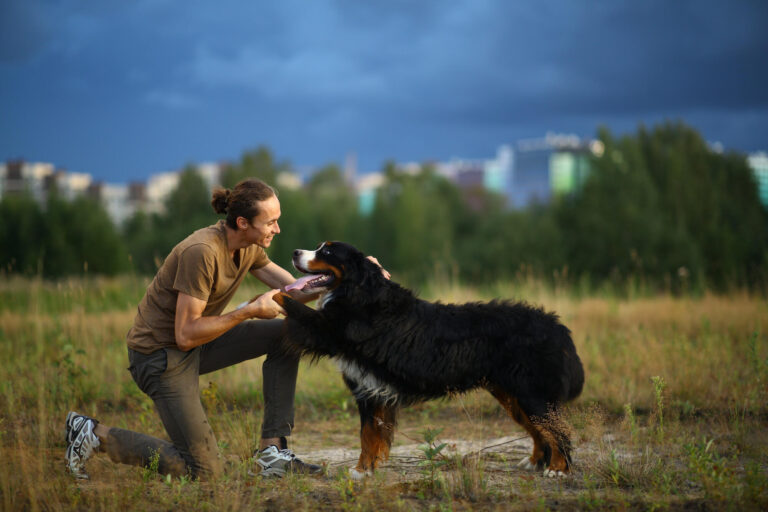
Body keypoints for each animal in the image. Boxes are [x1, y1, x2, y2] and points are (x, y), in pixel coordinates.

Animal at [272, 242, 584, 478]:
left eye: (326, 251)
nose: (295, 252)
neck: (359, 295)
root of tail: (557, 326)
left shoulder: (331, 335)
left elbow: (295, 306)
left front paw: (271, 293)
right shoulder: (370, 390)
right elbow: (370, 436)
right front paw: (365, 471)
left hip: (532, 394)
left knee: (558, 432)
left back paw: (558, 470)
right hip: (514, 395)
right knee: (540, 431)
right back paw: (535, 462)